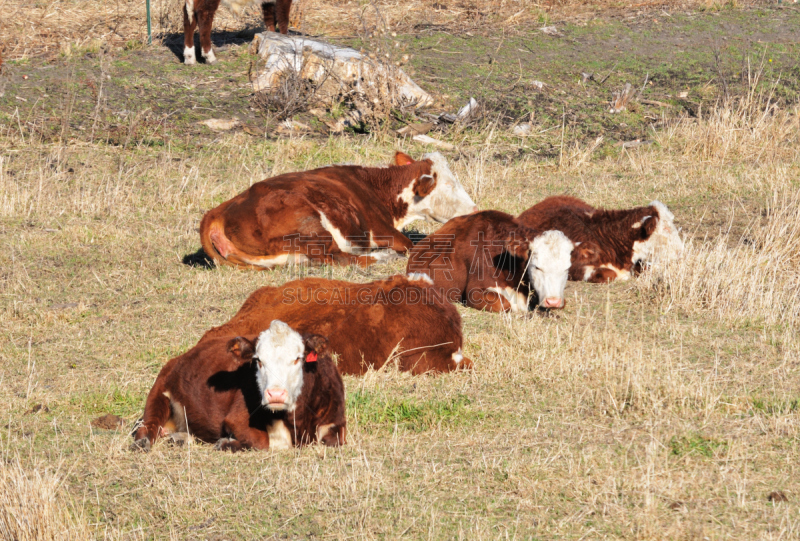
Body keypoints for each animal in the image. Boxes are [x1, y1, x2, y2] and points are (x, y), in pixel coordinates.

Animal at [133, 320, 346, 452]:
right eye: (258, 360)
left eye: (297, 359)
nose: (275, 394)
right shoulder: (236, 419)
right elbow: (264, 442)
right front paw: (226, 443)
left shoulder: (337, 420)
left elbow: (335, 440)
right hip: (159, 388)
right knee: (148, 425)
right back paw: (143, 442)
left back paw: (180, 439)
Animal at [200, 151, 478, 268]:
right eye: (450, 184)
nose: (475, 209)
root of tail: (218, 211)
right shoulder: (381, 229)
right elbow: (411, 245)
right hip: (310, 225)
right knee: (341, 259)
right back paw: (383, 257)